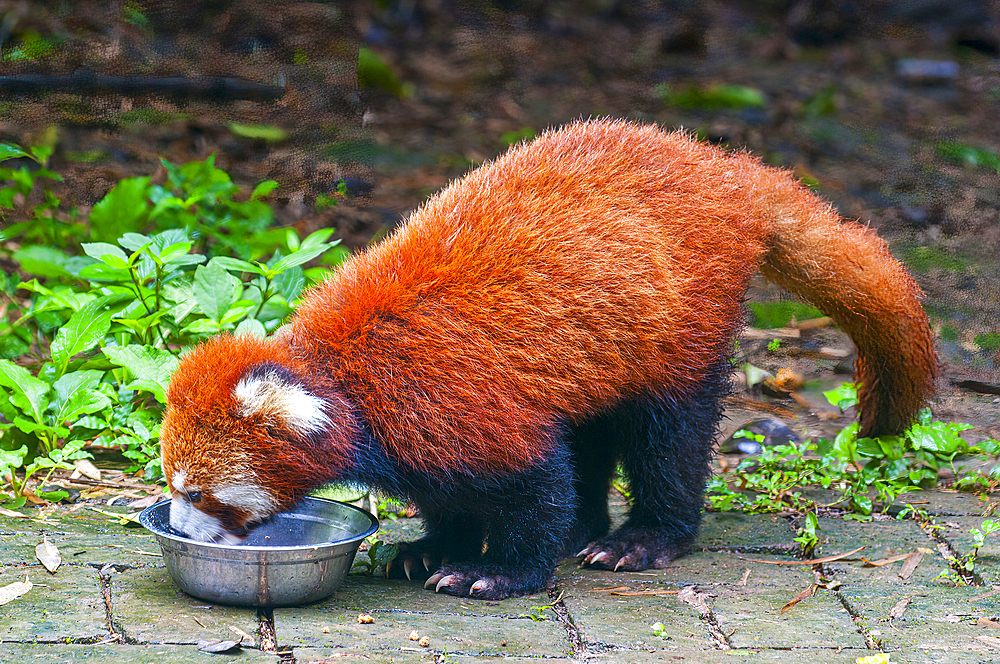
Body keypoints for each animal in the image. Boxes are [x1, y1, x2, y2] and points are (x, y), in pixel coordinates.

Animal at [162, 119, 936, 600]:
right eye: (175, 487)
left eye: (196, 494)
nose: (178, 528)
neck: (341, 377)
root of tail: (718, 166)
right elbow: (453, 491)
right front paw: (433, 546)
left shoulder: (454, 401)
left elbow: (534, 486)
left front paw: (496, 572)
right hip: (601, 349)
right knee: (589, 428)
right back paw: (587, 529)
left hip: (682, 325)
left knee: (669, 437)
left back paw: (643, 538)